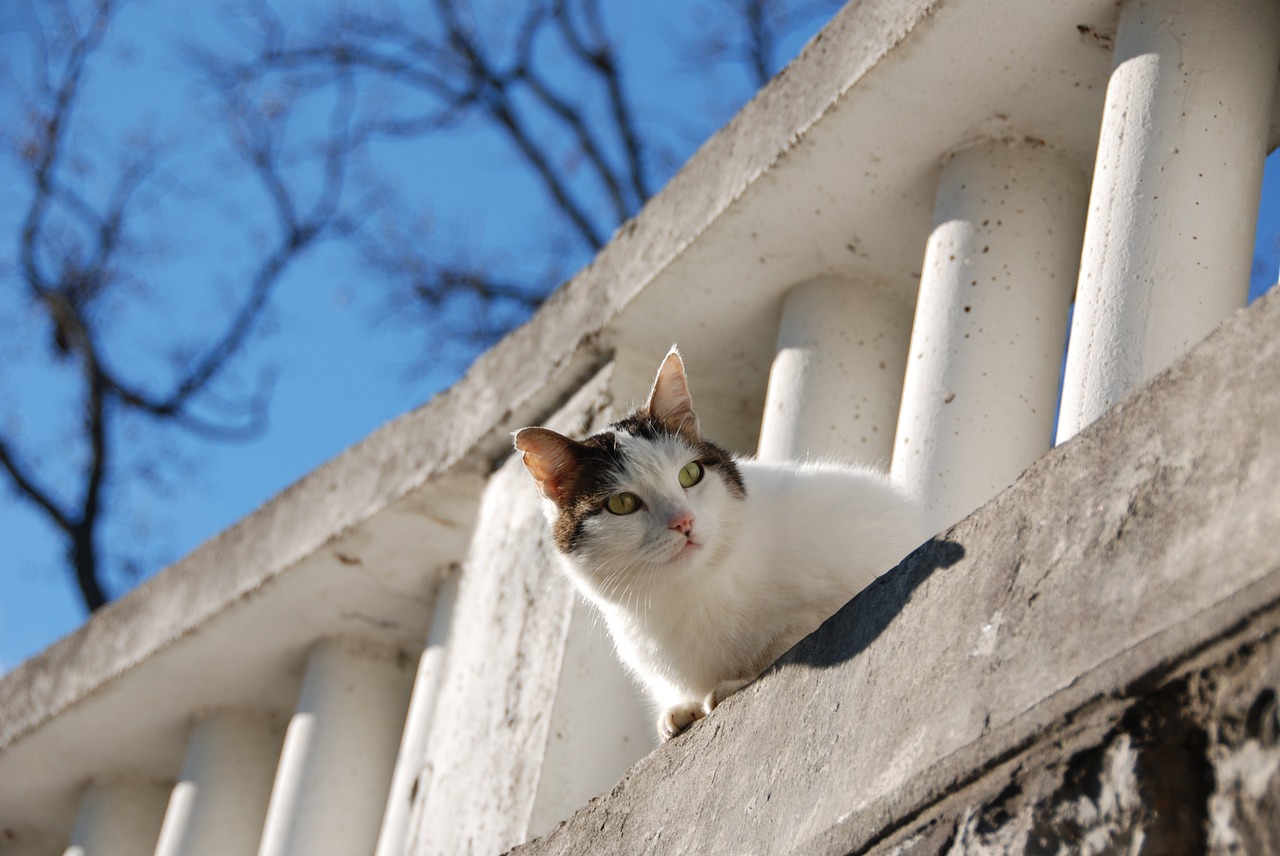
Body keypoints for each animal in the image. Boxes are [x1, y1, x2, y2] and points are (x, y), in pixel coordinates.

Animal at [514, 348, 926, 742]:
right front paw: (681, 708)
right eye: (622, 504)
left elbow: (791, 636)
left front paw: (729, 685)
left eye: (690, 474)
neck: (691, 591)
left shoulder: (845, 588)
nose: (683, 521)